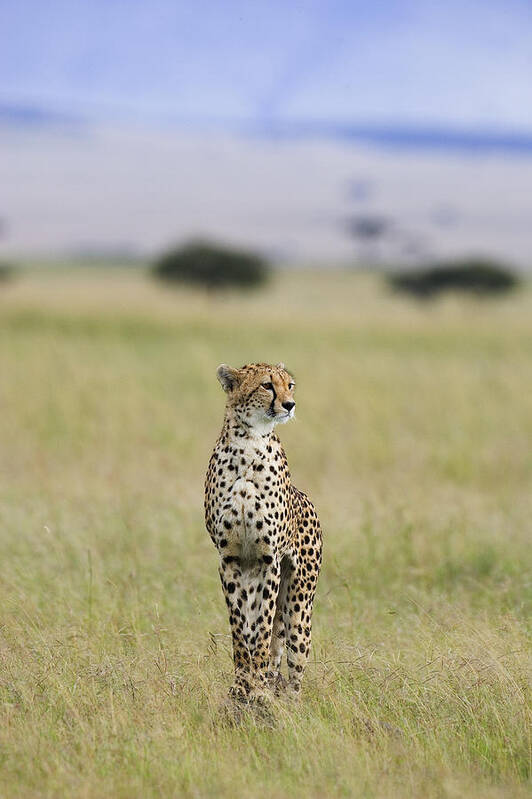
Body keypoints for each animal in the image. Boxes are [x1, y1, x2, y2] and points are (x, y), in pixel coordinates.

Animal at [203, 362, 320, 700]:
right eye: (267, 385)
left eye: (290, 385)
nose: (289, 404)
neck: (248, 442)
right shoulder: (229, 560)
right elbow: (241, 629)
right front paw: (242, 685)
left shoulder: (269, 560)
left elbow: (263, 630)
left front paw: (257, 688)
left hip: (298, 608)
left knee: (294, 670)